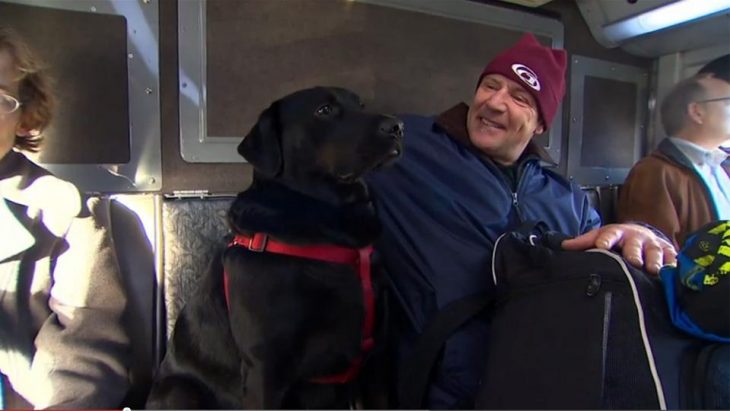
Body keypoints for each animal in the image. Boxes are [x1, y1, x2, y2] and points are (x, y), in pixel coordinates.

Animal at [144, 86, 400, 408]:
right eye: (324, 110)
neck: (332, 227)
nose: (397, 127)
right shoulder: (265, 367)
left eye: (361, 105)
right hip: (180, 391)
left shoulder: (378, 357)